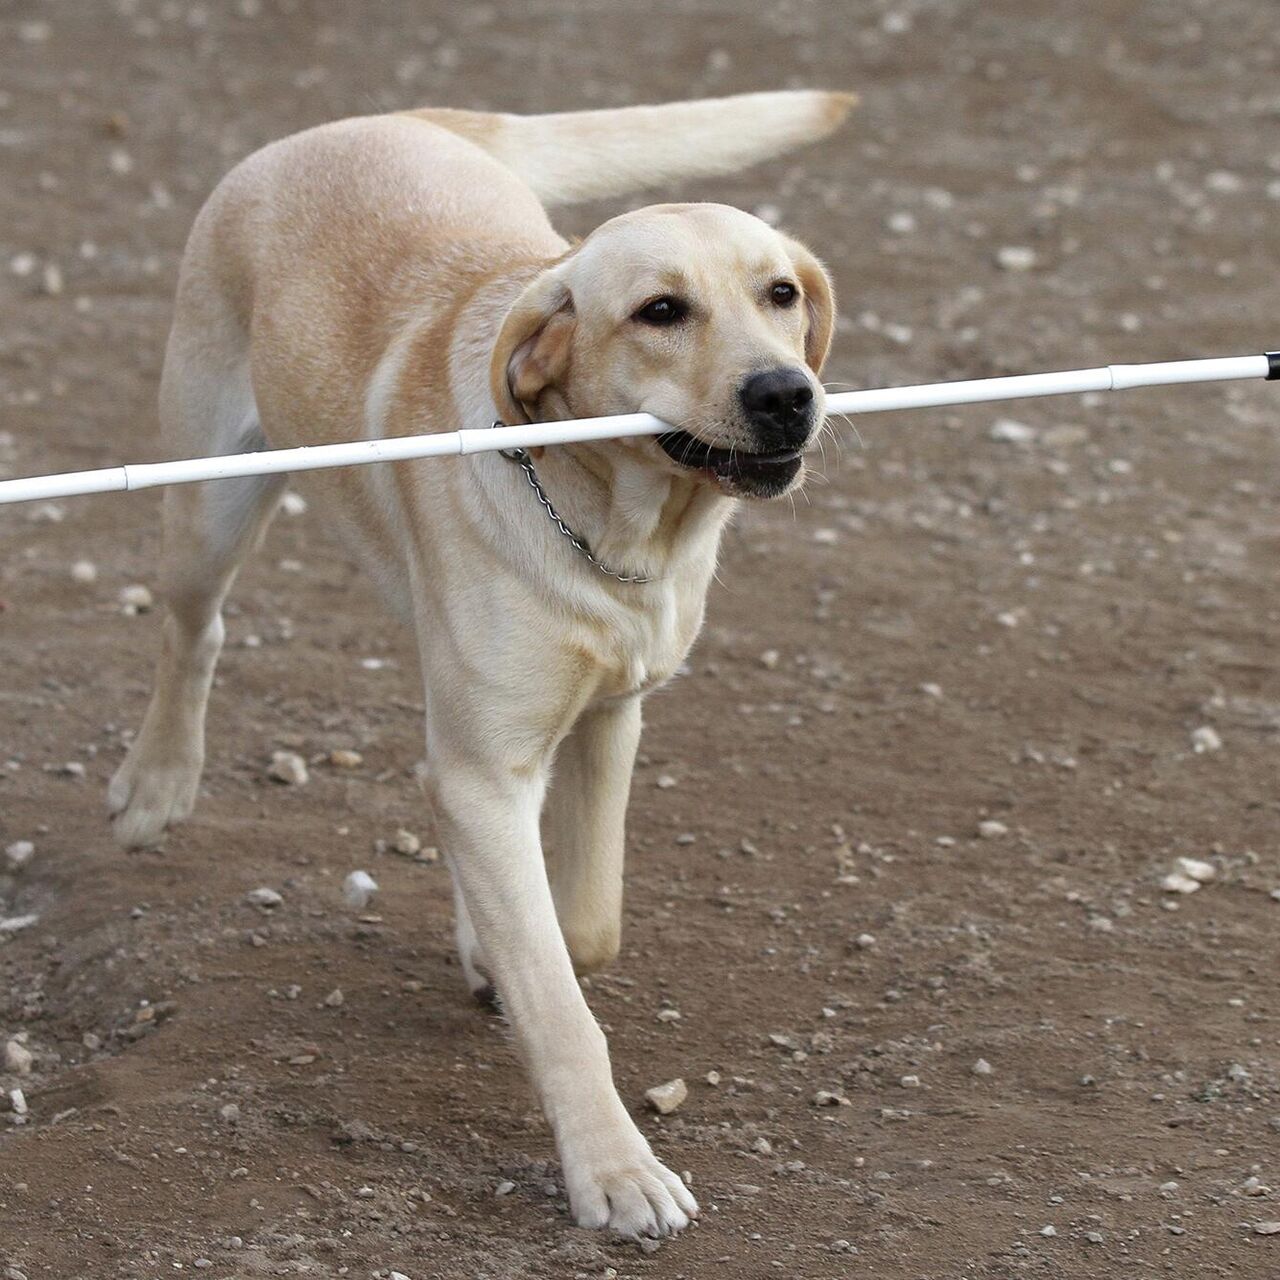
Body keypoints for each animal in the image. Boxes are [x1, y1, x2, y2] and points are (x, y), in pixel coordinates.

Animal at [107, 87, 849, 1228]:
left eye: (779, 293)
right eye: (660, 311)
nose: (785, 393)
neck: (614, 525)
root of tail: (388, 116)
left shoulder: (602, 720)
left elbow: (579, 930)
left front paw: (492, 945)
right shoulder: (485, 764)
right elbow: (560, 999)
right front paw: (614, 1170)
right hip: (208, 502)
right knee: (195, 630)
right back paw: (156, 783)